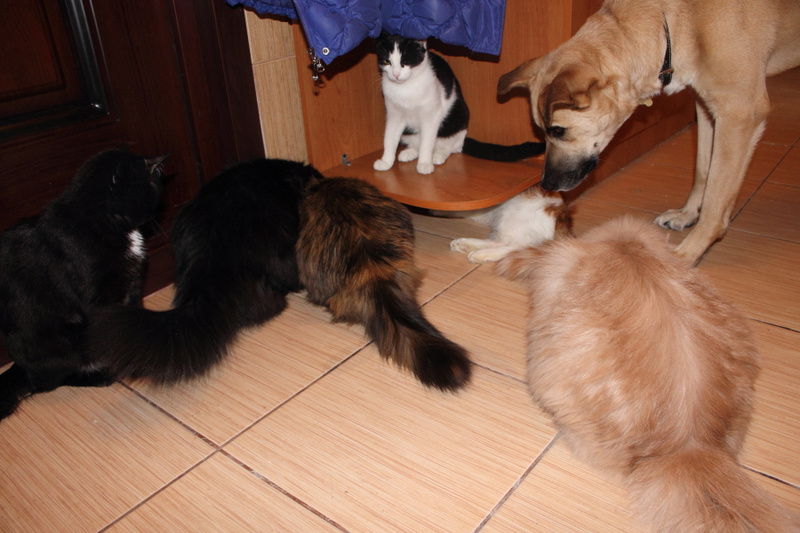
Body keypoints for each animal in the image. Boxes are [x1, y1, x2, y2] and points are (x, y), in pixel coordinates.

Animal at [0, 149, 167, 421]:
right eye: (154, 185)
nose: (158, 212)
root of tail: (21, 367)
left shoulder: (131, 286)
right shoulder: (100, 298)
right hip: (62, 342)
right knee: (48, 382)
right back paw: (99, 376)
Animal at [373, 32, 545, 175]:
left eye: (405, 62)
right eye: (387, 61)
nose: (396, 74)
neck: (405, 89)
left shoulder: (431, 116)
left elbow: (427, 142)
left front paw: (424, 163)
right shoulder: (394, 115)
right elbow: (389, 138)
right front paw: (386, 161)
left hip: (458, 116)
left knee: (451, 147)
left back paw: (438, 155)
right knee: (418, 143)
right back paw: (409, 152)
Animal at [498, 0, 800, 264]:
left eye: (558, 130)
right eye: (541, 130)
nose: (547, 184)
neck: (676, 24)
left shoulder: (739, 114)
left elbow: (716, 202)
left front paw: (685, 255)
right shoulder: (706, 109)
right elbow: (703, 170)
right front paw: (687, 214)